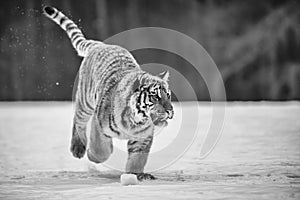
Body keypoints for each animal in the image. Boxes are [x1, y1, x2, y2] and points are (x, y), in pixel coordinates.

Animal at [42, 6, 173, 180]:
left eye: (168, 95)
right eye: (155, 96)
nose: (170, 111)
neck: (136, 120)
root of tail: (100, 44)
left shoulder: (143, 138)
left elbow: (138, 158)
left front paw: (135, 175)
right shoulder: (99, 125)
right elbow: (101, 150)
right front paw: (94, 155)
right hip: (86, 101)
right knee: (78, 120)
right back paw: (78, 148)